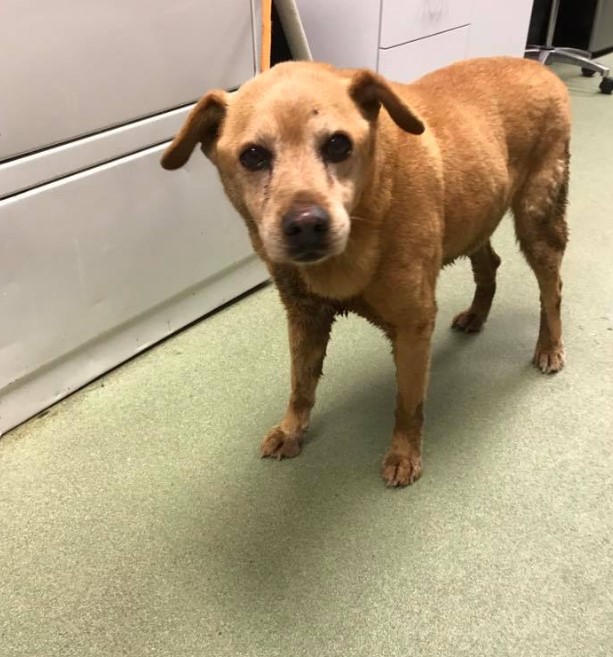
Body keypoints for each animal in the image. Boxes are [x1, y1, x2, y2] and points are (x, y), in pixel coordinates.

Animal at [161, 56, 568, 484]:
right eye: (253, 155)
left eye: (338, 144)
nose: (306, 225)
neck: (366, 211)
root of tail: (536, 65)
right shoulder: (304, 315)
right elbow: (301, 385)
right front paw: (292, 430)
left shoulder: (413, 324)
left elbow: (408, 402)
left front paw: (404, 453)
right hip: (477, 217)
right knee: (490, 264)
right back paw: (477, 315)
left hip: (538, 220)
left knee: (552, 290)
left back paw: (549, 347)